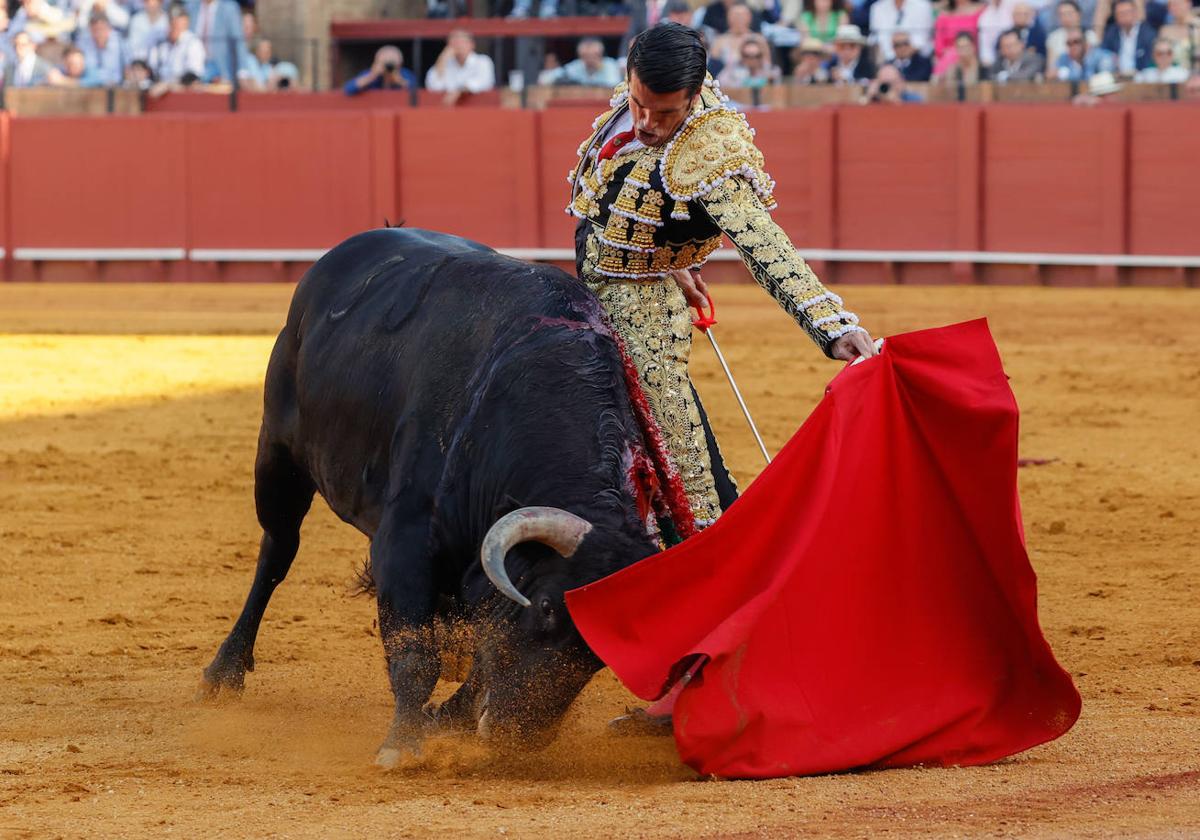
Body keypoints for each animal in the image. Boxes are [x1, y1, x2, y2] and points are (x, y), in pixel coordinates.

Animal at [200, 226, 729, 763]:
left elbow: (484, 650)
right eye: (545, 607)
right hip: (278, 452)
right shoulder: (405, 538)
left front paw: (444, 719)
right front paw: (402, 744)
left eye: (603, 654)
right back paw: (224, 672)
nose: (521, 735)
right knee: (278, 551)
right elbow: (415, 651)